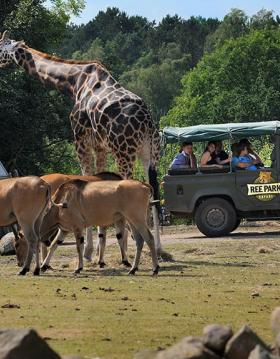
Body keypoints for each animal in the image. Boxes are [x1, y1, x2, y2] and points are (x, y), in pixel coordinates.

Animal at [0, 31, 162, 258]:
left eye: (1, 47)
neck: (74, 82)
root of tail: (146, 121)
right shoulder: (100, 146)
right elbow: (98, 181)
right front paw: (98, 249)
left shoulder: (80, 140)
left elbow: (86, 178)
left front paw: (88, 250)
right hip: (150, 152)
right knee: (154, 191)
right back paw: (159, 249)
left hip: (124, 151)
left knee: (133, 186)